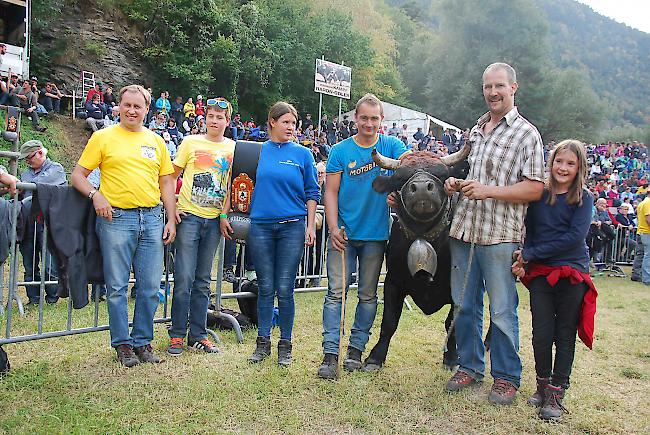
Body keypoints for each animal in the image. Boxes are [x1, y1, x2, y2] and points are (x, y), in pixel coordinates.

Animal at [360, 145, 470, 372]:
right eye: (400, 178)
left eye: (442, 174)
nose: (420, 188)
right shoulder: (393, 282)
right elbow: (389, 322)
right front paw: (375, 358)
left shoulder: (461, 287)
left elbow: (452, 323)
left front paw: (451, 359)